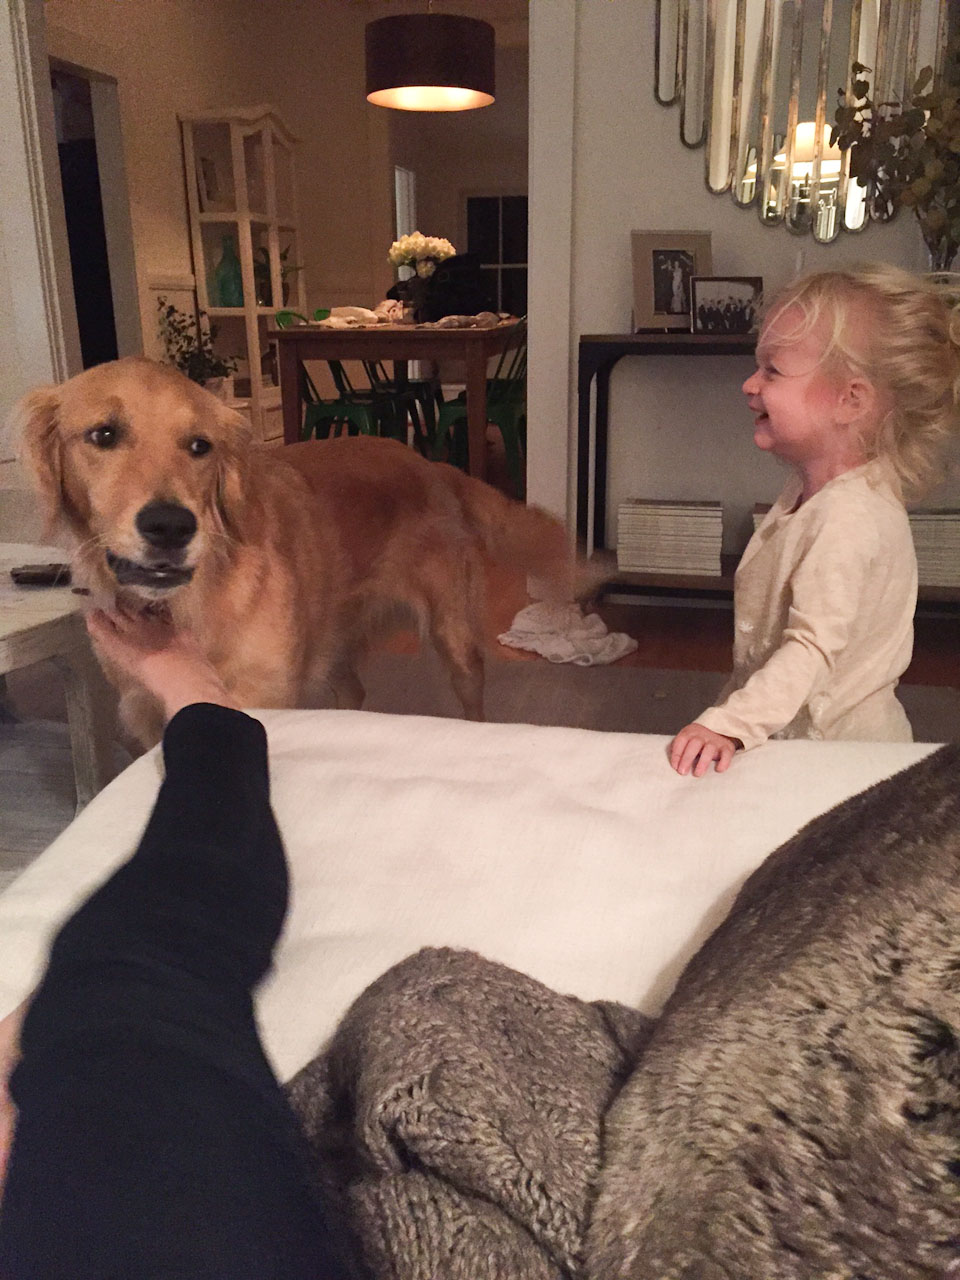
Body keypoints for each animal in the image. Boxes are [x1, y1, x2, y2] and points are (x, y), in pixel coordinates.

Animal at [15, 356, 576, 746]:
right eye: (103, 434)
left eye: (200, 446)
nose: (170, 526)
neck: (189, 608)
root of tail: (428, 463)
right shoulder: (146, 718)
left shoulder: (264, 703)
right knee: (352, 694)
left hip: (452, 635)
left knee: (470, 698)